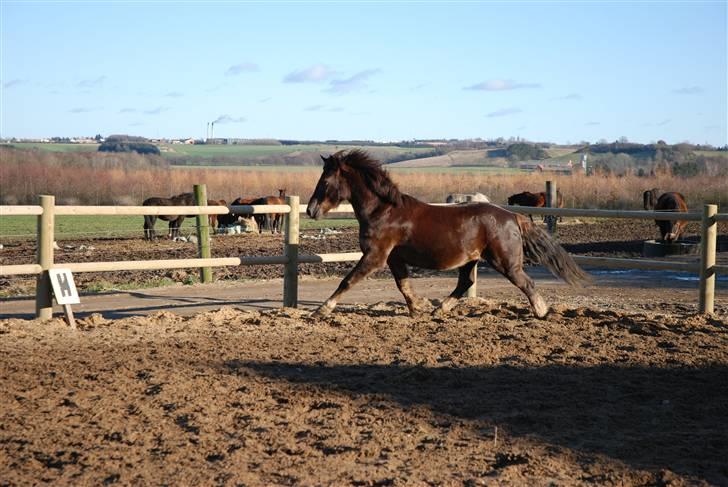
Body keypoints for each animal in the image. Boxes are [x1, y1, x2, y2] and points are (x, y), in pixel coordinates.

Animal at [304, 149, 588, 320]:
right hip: (472, 259)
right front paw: (418, 308)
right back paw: (440, 309)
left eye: (326, 181)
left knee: (525, 283)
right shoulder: (394, 258)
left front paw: (321, 310)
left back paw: (542, 312)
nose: (311, 210)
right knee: (465, 283)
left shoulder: (375, 256)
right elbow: (403, 285)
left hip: (504, 261)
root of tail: (513, 217)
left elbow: (347, 281)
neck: (383, 212)